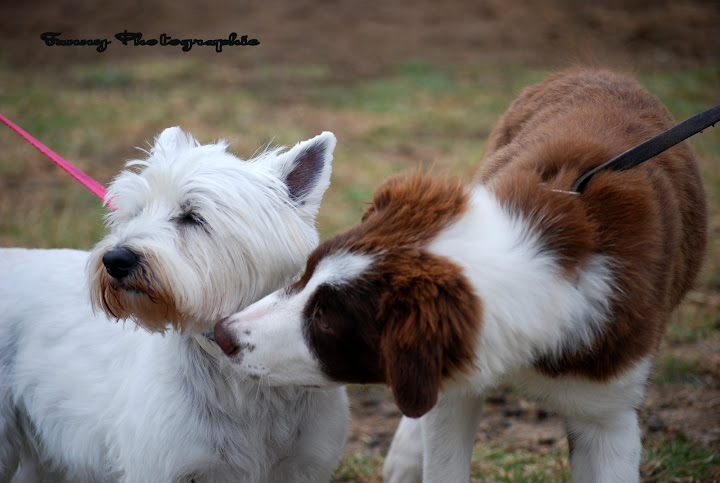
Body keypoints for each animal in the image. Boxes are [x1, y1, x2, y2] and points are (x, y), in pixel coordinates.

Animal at [215, 69, 708, 483]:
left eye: (325, 318)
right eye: (305, 274)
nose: (223, 334)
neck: (546, 253)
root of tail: (602, 69)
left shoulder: (610, 410)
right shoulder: (452, 385)